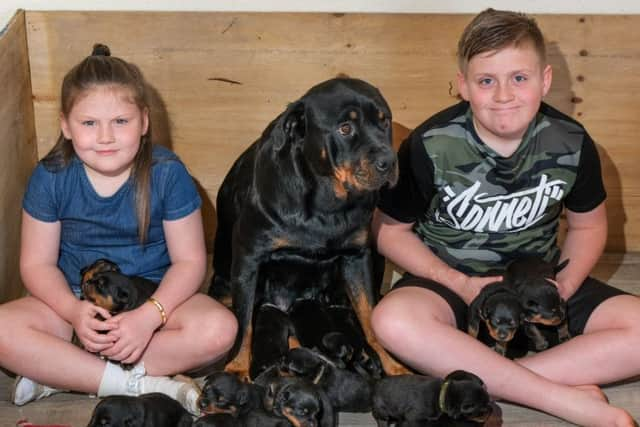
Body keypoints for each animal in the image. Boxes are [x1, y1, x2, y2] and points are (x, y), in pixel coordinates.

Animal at [210, 77, 408, 378]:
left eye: (384, 122)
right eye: (345, 128)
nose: (389, 162)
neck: (325, 204)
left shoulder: (357, 256)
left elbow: (369, 315)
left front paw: (391, 363)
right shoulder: (248, 256)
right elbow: (243, 323)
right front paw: (236, 366)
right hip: (223, 286)